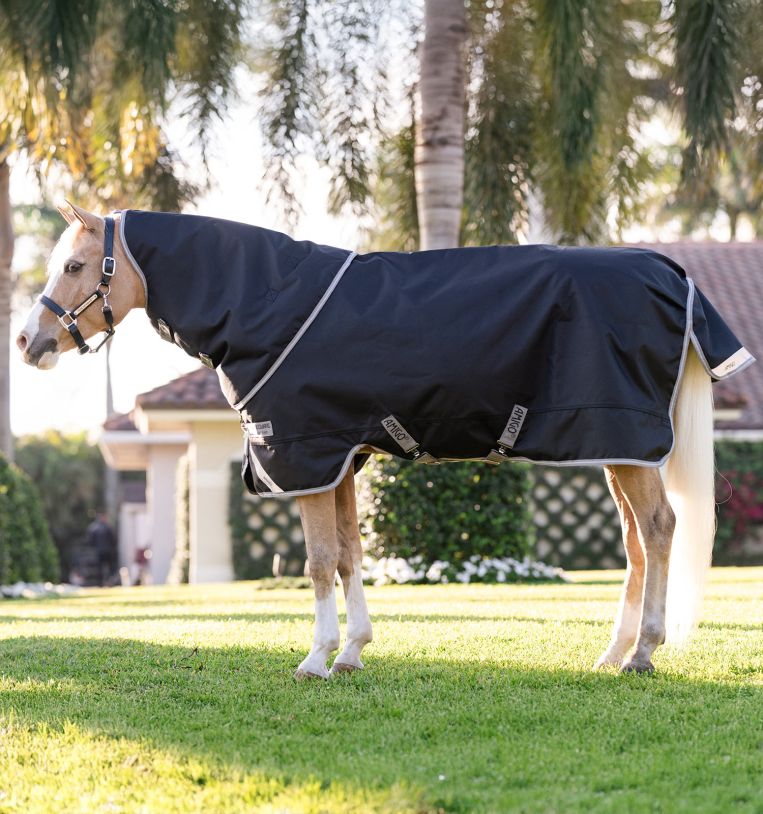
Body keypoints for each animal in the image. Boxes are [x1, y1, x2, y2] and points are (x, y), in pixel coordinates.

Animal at [17, 202, 743, 677]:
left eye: (76, 265)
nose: (28, 341)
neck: (264, 302)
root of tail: (670, 273)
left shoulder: (305, 454)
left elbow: (316, 561)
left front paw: (315, 658)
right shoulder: (340, 458)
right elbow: (346, 555)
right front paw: (352, 651)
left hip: (626, 442)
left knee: (658, 528)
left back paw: (643, 653)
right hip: (615, 447)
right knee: (635, 541)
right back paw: (613, 652)